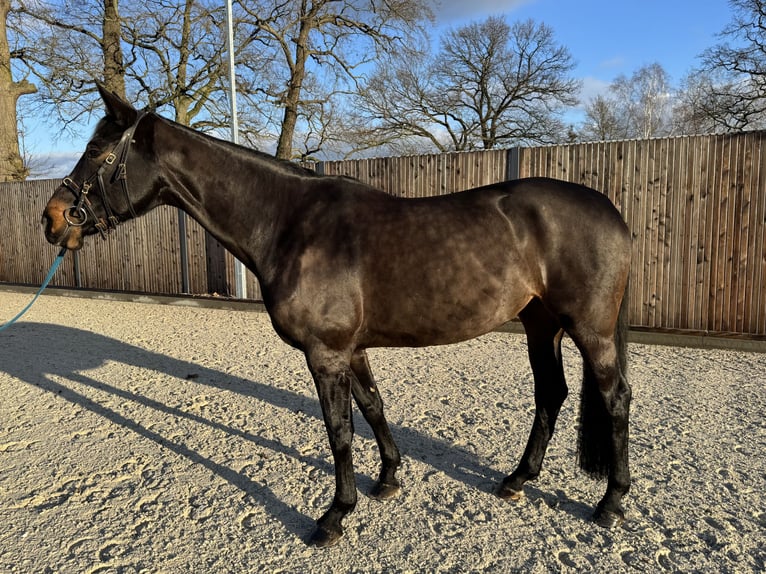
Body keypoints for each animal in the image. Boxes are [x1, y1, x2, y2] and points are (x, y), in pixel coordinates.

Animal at [42, 85, 632, 548]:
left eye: (96, 152)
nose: (52, 219)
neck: (290, 224)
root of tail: (609, 211)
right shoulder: (352, 348)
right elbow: (372, 407)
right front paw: (388, 479)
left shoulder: (325, 353)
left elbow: (339, 431)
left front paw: (334, 516)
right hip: (541, 325)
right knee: (551, 393)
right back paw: (518, 479)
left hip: (589, 331)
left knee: (615, 398)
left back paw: (610, 502)